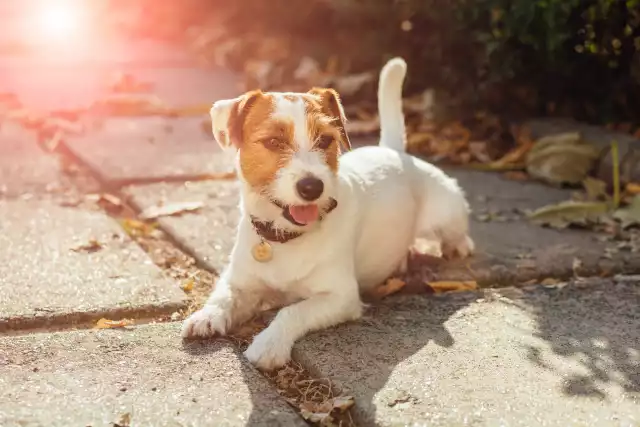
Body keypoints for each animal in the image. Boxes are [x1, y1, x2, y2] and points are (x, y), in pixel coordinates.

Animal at [182, 56, 472, 372]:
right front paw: (207, 315)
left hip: (446, 211)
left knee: (457, 231)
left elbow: (292, 310)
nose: (312, 186)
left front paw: (269, 343)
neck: (286, 237)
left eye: (325, 141)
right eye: (273, 142)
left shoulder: (340, 297)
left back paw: (457, 246)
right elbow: (224, 295)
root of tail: (393, 151)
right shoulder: (240, 281)